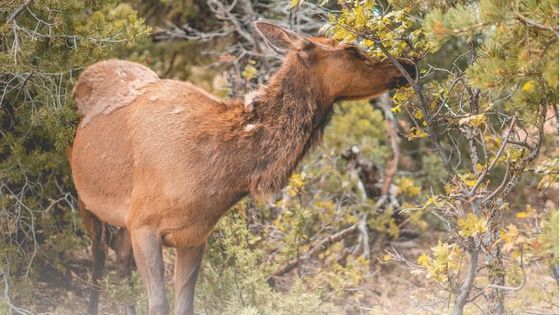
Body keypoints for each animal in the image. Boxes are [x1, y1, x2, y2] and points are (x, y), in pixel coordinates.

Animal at [69, 22, 412, 315]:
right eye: (352, 49)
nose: (407, 64)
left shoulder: (194, 235)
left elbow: (184, 305)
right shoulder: (145, 225)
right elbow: (158, 304)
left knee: (119, 255)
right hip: (86, 198)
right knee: (99, 256)